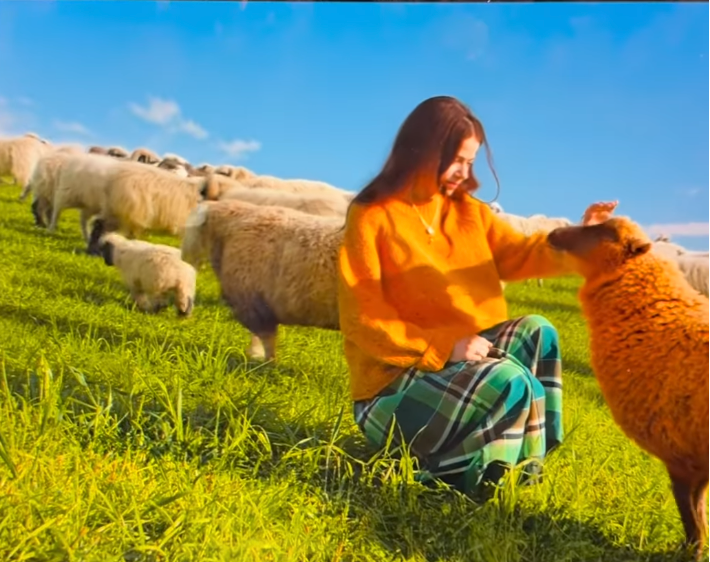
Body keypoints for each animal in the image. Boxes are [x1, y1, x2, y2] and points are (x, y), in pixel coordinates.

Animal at [547, 216, 709, 560]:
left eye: (603, 232)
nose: (553, 232)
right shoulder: (696, 464)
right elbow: (699, 516)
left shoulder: (681, 457)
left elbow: (692, 520)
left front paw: (689, 554)